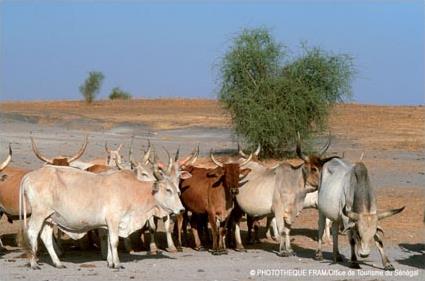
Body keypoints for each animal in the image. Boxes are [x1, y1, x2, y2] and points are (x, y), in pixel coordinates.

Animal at [19, 153, 186, 270]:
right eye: (168, 190)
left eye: (176, 188)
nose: (181, 209)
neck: (132, 190)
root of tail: (29, 175)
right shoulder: (114, 220)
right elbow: (114, 241)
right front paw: (117, 264)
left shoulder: (108, 224)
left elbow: (109, 241)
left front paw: (110, 262)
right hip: (39, 214)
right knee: (32, 233)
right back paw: (33, 263)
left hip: (49, 218)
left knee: (46, 238)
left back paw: (58, 263)